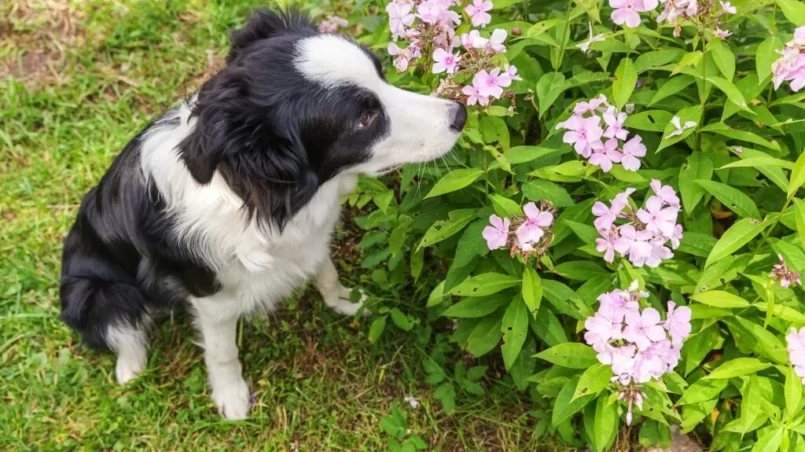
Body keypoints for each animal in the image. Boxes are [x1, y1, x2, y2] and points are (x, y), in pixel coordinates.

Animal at [59, 9, 464, 420]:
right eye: (365, 118)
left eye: (382, 75)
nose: (460, 113)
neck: (256, 195)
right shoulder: (211, 296)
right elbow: (223, 351)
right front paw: (232, 397)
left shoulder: (307, 238)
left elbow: (326, 273)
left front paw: (347, 302)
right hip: (93, 291)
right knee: (122, 327)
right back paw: (130, 366)